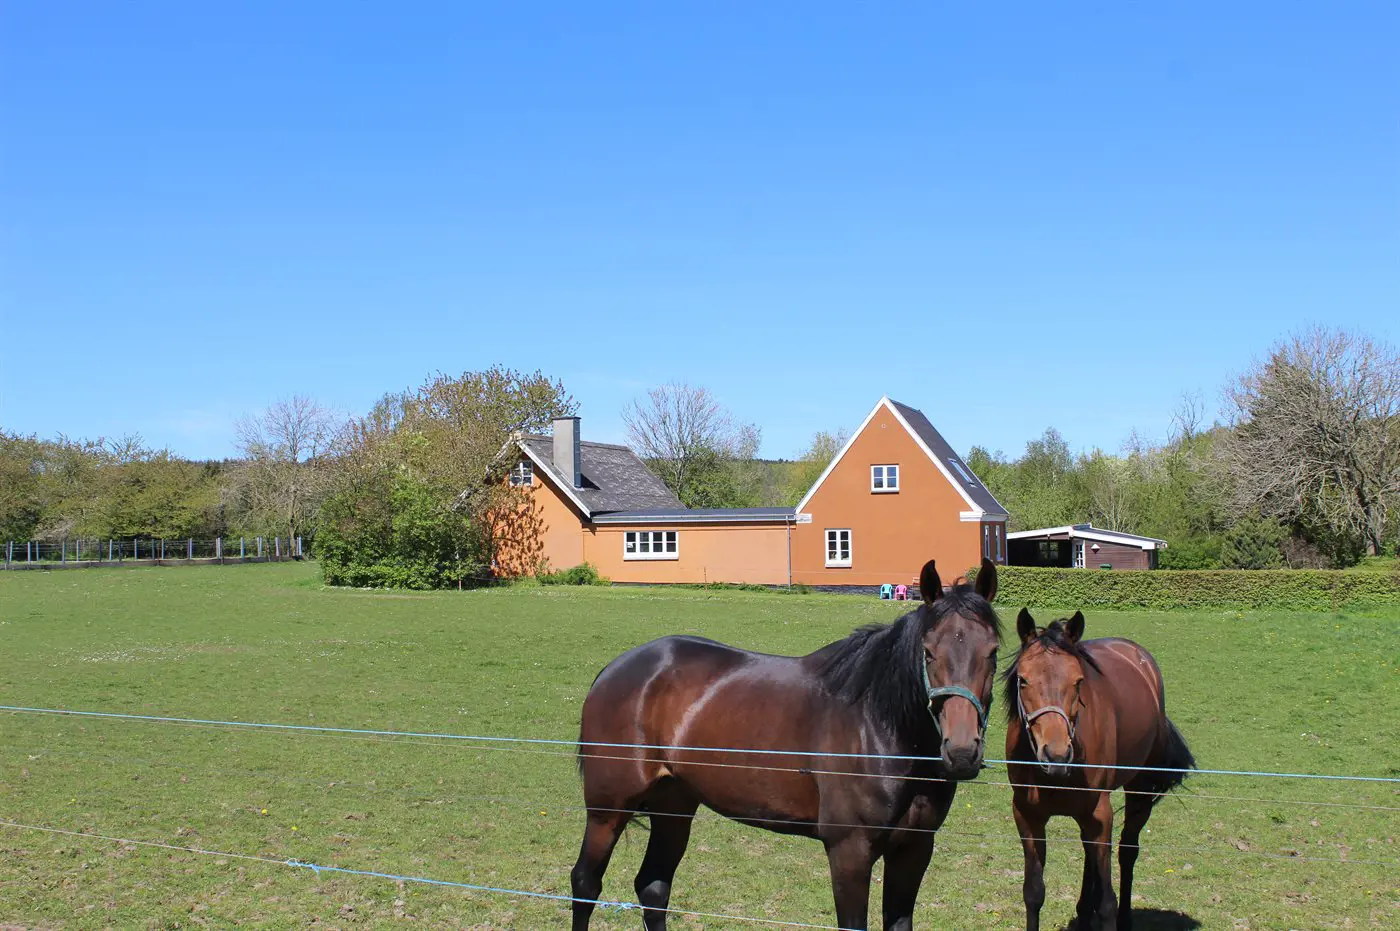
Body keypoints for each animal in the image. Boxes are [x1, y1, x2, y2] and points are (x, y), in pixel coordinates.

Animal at [571, 554, 1008, 924]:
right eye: (929, 652)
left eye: (992, 652)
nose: (962, 752)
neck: (880, 727)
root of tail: (616, 668)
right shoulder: (849, 851)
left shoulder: (913, 850)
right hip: (608, 809)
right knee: (585, 884)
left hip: (674, 806)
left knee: (654, 887)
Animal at [1002, 610, 1198, 929]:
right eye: (1023, 680)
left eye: (1078, 681)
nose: (1056, 754)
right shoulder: (1027, 816)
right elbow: (1033, 892)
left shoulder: (1100, 814)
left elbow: (1108, 902)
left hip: (1138, 791)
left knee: (1127, 851)